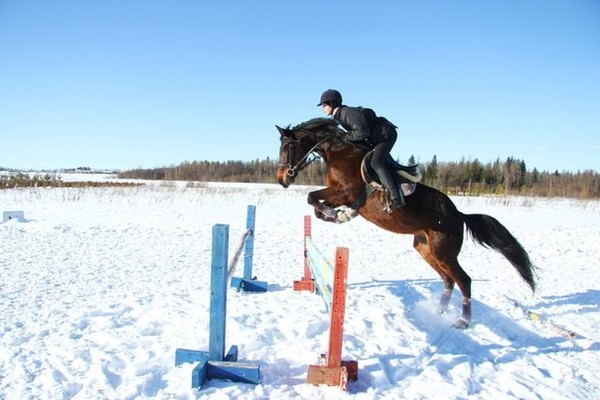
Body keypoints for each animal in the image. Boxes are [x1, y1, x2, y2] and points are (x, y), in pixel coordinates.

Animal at [276, 116, 536, 328]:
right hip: (426, 249)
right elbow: (314, 202)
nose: (281, 180)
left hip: (443, 251)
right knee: (448, 280)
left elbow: (312, 197)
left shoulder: (345, 193)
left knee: (464, 280)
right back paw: (439, 312)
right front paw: (334, 214)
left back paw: (463, 321)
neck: (339, 153)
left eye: (288, 147)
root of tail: (459, 214)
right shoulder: (338, 194)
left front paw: (337, 214)